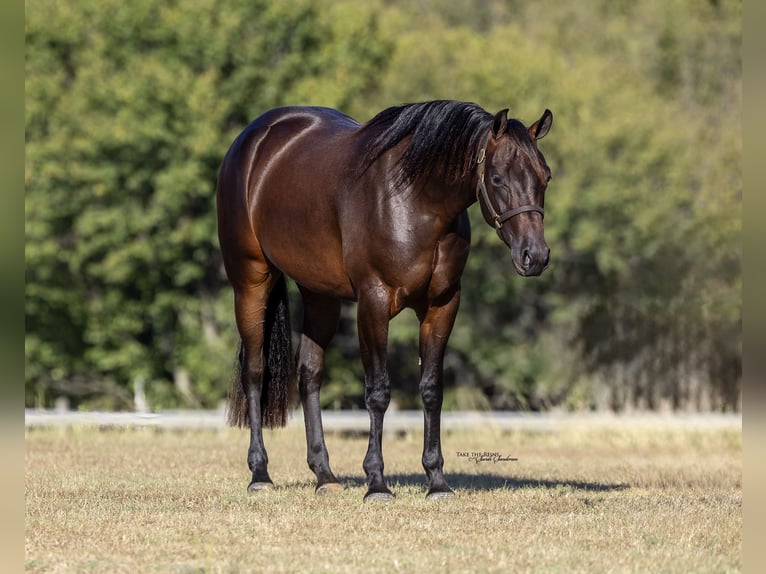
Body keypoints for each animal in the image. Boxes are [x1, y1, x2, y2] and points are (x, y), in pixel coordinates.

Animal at [216, 101, 552, 502]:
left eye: (545, 177)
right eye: (498, 178)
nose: (535, 256)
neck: (415, 201)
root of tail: (253, 139)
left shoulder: (442, 305)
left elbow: (431, 390)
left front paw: (437, 481)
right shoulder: (373, 302)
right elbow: (378, 391)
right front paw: (376, 482)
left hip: (320, 295)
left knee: (310, 374)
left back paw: (325, 475)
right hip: (251, 282)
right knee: (255, 372)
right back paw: (260, 474)